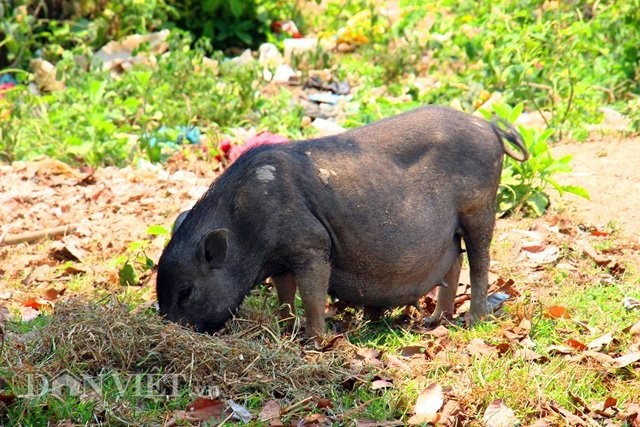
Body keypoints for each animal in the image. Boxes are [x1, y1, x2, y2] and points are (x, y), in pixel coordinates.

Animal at [158, 106, 528, 338]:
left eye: (186, 292)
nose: (167, 326)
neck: (246, 226)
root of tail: (488, 127)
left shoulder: (311, 244)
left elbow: (312, 293)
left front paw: (314, 340)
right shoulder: (280, 260)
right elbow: (284, 294)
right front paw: (285, 328)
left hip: (479, 208)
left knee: (480, 261)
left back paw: (473, 321)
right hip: (452, 229)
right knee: (454, 262)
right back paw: (434, 320)